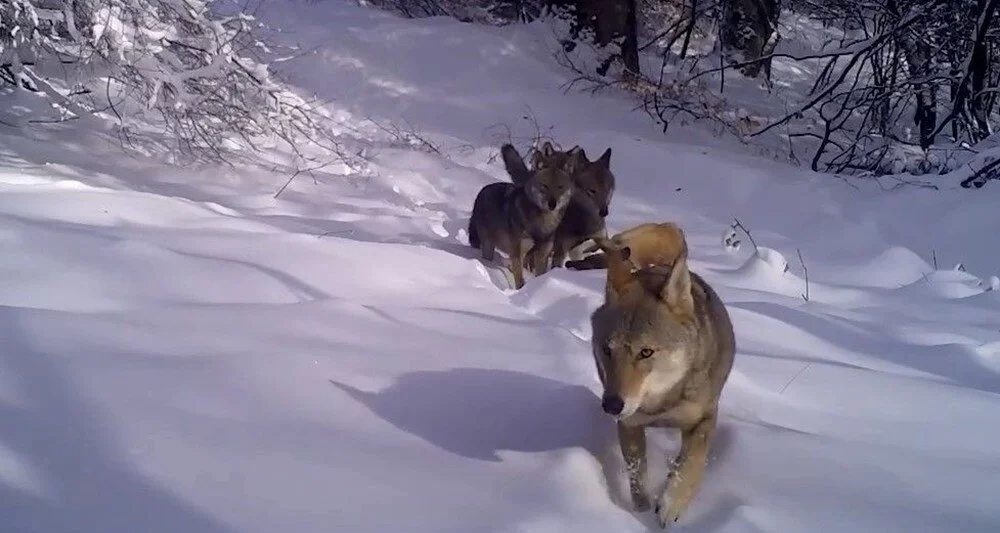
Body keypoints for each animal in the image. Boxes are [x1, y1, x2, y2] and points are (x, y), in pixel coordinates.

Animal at [470, 142, 580, 286]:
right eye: (545, 186)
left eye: (560, 187)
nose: (552, 204)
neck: (542, 225)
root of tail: (482, 191)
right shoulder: (518, 254)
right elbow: (520, 281)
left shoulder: (542, 255)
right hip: (488, 246)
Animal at [584, 225, 736, 528]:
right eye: (607, 349)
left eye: (646, 352)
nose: (611, 405)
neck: (660, 405)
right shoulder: (630, 424)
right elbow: (636, 473)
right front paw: (640, 510)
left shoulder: (704, 419)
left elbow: (691, 464)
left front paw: (670, 504)